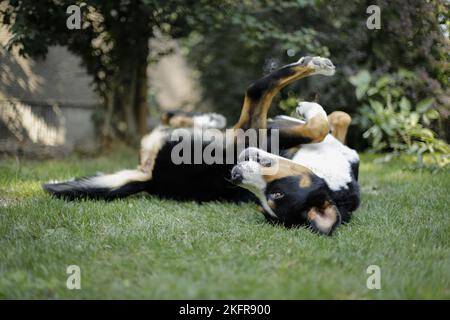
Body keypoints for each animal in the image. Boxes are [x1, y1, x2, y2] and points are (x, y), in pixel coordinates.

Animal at [42, 55, 358, 235]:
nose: (234, 174)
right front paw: (311, 107)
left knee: (255, 90)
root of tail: (149, 176)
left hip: (233, 130)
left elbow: (320, 125)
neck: (330, 174)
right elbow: (335, 119)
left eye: (274, 196)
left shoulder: (254, 132)